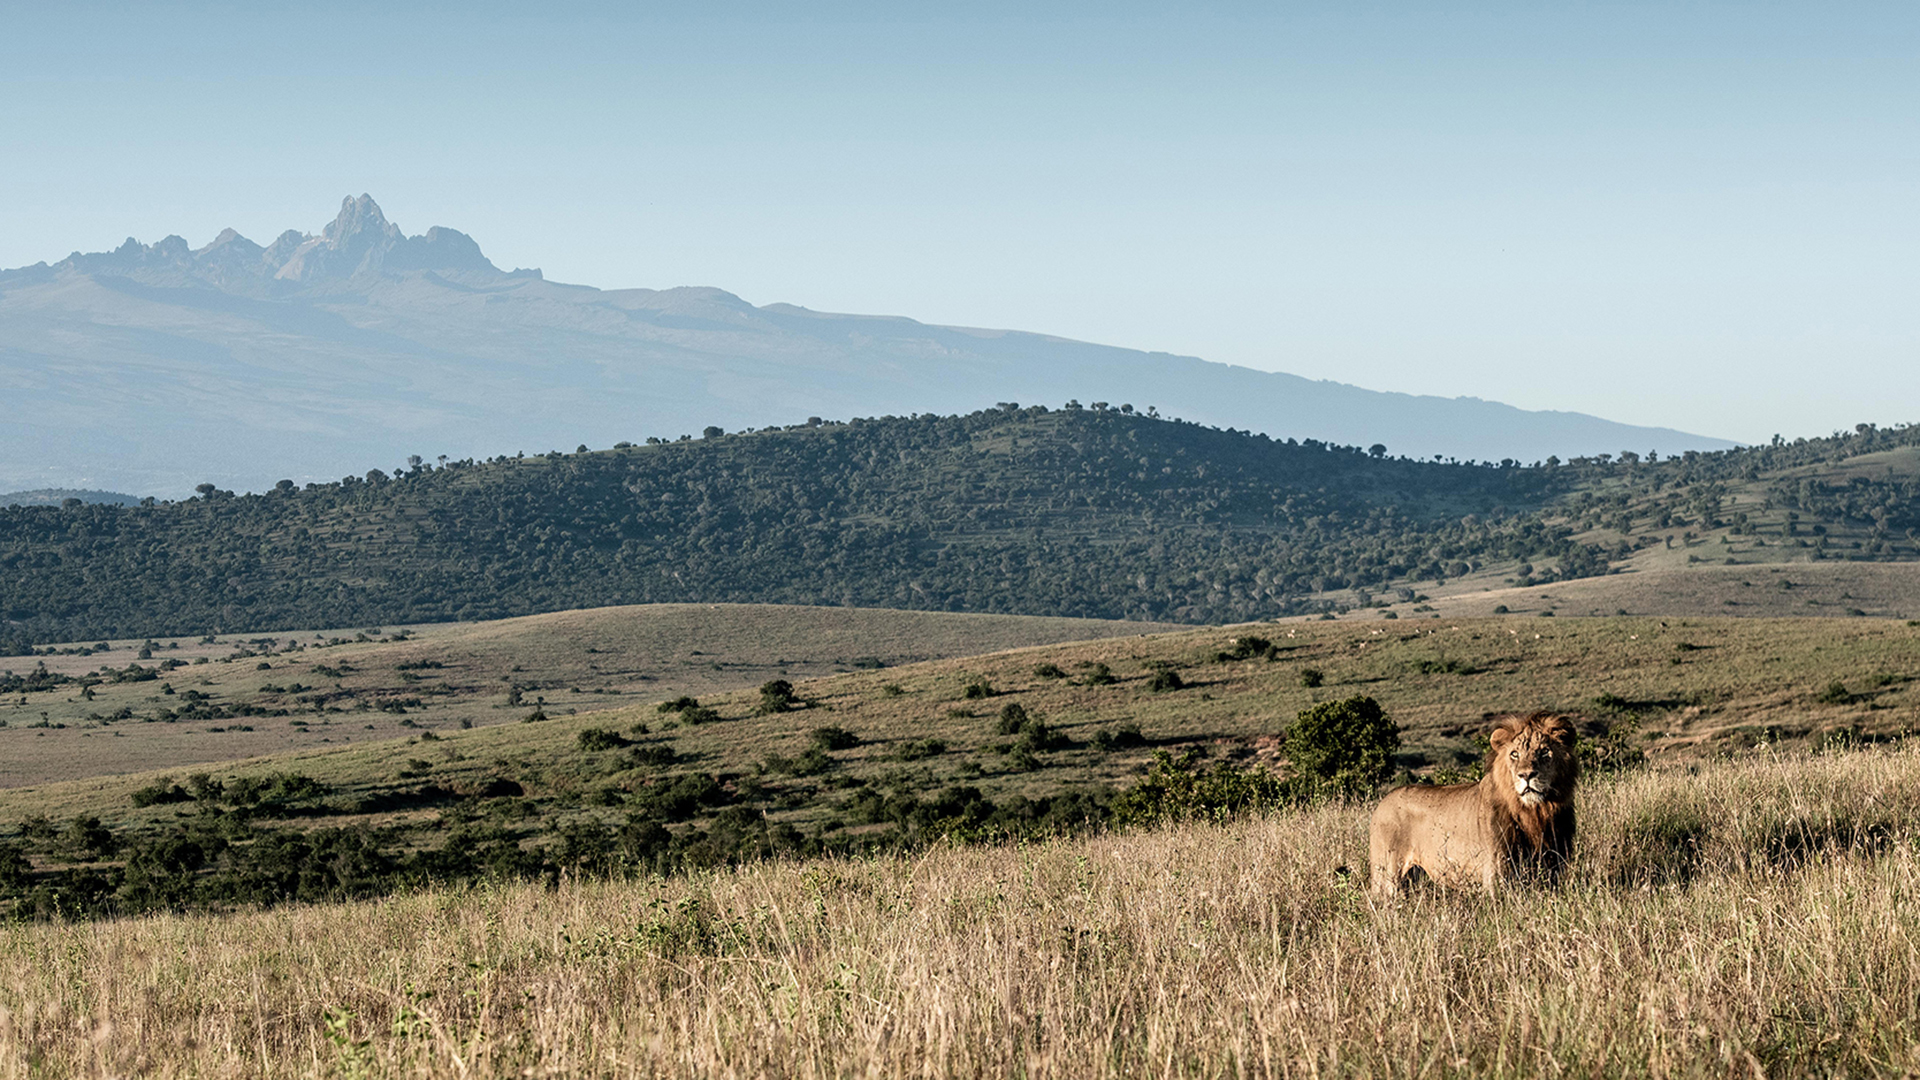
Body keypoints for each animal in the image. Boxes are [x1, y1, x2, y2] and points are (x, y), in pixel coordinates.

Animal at [1369, 713, 1578, 897]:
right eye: (1514, 754)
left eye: (1544, 752)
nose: (1526, 775)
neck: (1535, 813)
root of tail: (1381, 804)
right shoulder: (1496, 876)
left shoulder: (1553, 868)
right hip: (1387, 878)